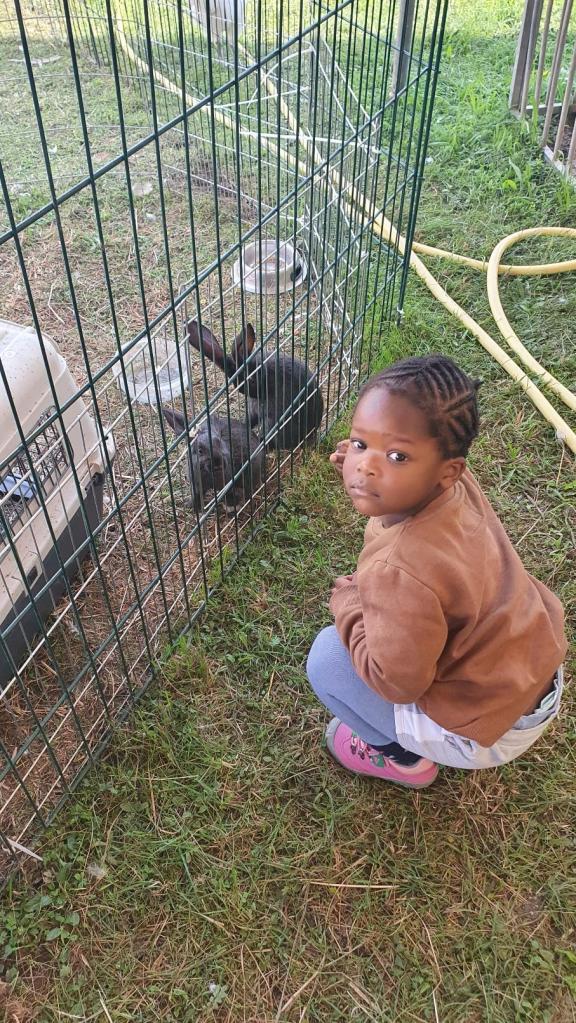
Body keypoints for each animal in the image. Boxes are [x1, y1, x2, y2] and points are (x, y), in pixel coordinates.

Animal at [189, 317, 325, 450]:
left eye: (251, 380)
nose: (243, 391)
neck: (265, 375)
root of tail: (312, 431)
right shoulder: (254, 410)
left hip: (275, 424)